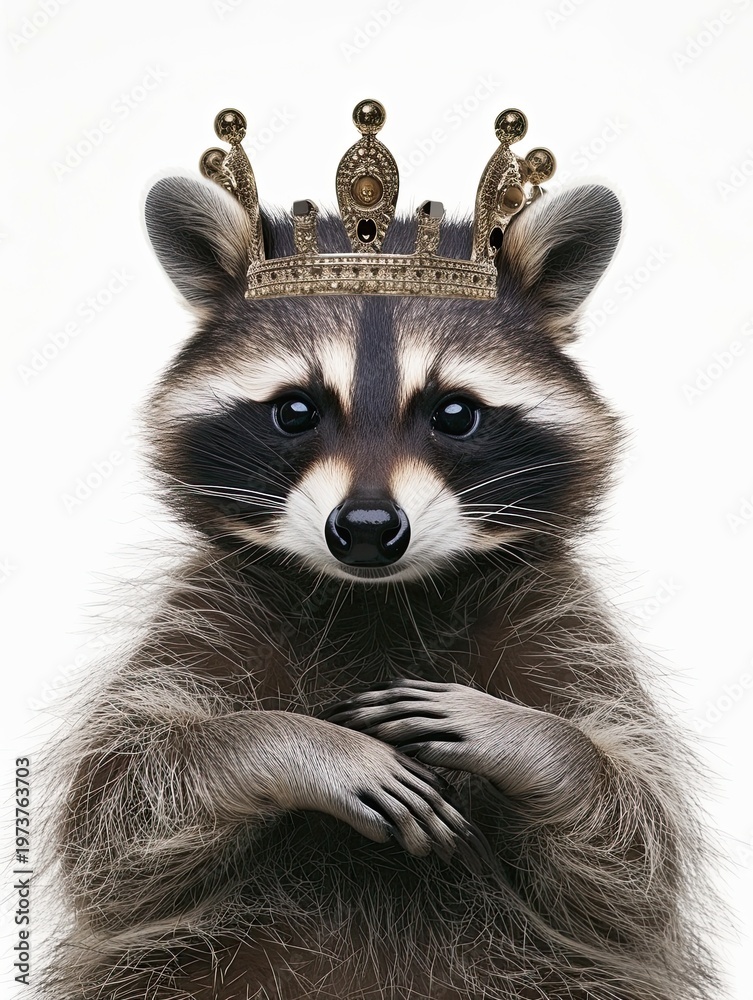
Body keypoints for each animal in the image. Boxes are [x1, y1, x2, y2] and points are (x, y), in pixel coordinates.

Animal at [41, 175, 721, 1000]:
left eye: (454, 413)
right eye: (295, 410)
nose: (365, 528)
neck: (377, 598)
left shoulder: (557, 617)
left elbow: (633, 865)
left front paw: (521, 736)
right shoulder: (207, 608)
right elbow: (112, 830)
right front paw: (296, 746)